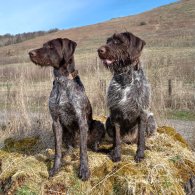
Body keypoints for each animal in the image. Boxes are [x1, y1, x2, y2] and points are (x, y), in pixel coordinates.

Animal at [28, 37, 105, 181]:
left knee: (89, 145)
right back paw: (68, 153)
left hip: (98, 124)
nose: (30, 53)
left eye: (51, 47)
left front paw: (84, 170)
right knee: (69, 147)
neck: (62, 81)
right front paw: (55, 168)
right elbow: (57, 150)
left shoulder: (81, 120)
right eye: (43, 45)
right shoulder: (56, 122)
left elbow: (83, 151)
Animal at [97, 32, 157, 162]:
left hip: (150, 119)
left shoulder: (142, 113)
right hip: (108, 121)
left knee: (139, 139)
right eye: (108, 41)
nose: (99, 50)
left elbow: (141, 139)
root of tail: (128, 140)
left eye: (118, 41)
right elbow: (117, 140)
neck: (125, 79)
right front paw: (116, 154)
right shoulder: (115, 114)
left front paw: (140, 155)